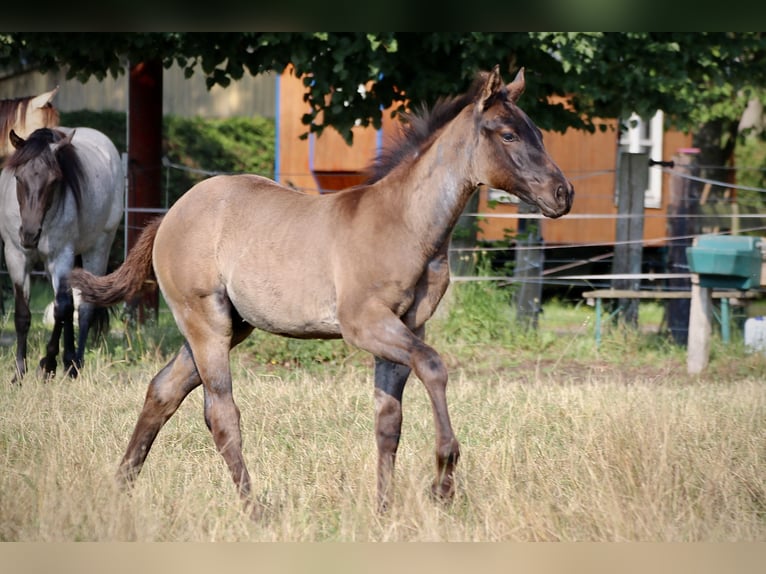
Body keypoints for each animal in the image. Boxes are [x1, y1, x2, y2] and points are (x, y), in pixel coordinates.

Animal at [0, 127, 124, 382]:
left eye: (54, 181)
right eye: (18, 178)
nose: (29, 235)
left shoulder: (61, 256)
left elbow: (62, 310)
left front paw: (48, 365)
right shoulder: (16, 256)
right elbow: (23, 314)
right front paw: (19, 373)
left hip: (98, 248)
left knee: (83, 309)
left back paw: (74, 363)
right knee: (69, 304)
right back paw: (67, 361)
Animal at [72, 66, 572, 516]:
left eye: (539, 132)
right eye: (508, 134)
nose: (563, 193)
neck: (403, 223)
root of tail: (169, 215)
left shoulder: (409, 326)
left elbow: (388, 421)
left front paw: (385, 510)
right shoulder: (364, 324)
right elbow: (433, 367)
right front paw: (443, 480)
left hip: (232, 324)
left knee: (163, 390)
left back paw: (119, 488)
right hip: (205, 321)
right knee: (221, 413)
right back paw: (253, 509)